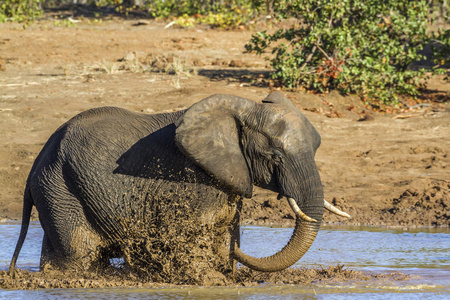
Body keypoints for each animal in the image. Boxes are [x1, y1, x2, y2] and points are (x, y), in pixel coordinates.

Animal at [8, 91, 350, 278]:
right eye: (275, 156)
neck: (241, 111)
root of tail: (36, 162)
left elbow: (226, 227)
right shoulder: (195, 177)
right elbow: (203, 228)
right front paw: (208, 277)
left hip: (56, 188)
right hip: (60, 187)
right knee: (81, 253)